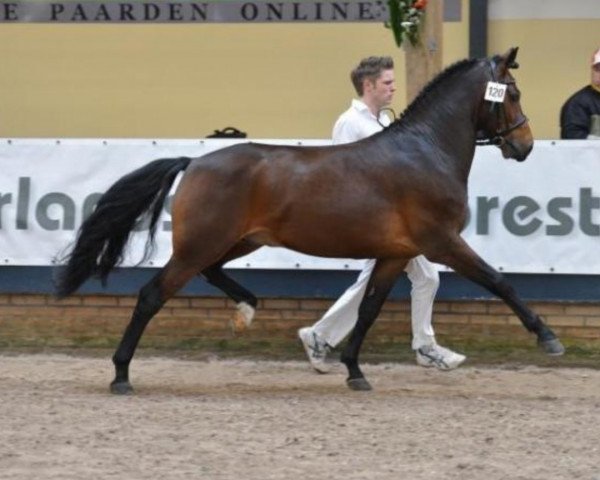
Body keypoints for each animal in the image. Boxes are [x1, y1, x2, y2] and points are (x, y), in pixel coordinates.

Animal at [54, 47, 564, 394]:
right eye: (512, 93)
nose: (524, 146)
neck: (426, 151)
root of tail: (194, 162)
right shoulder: (441, 242)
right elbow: (499, 281)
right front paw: (548, 338)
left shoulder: (395, 254)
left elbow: (368, 309)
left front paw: (354, 371)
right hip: (202, 243)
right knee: (151, 295)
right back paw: (121, 375)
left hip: (237, 241)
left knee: (210, 272)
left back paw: (247, 309)